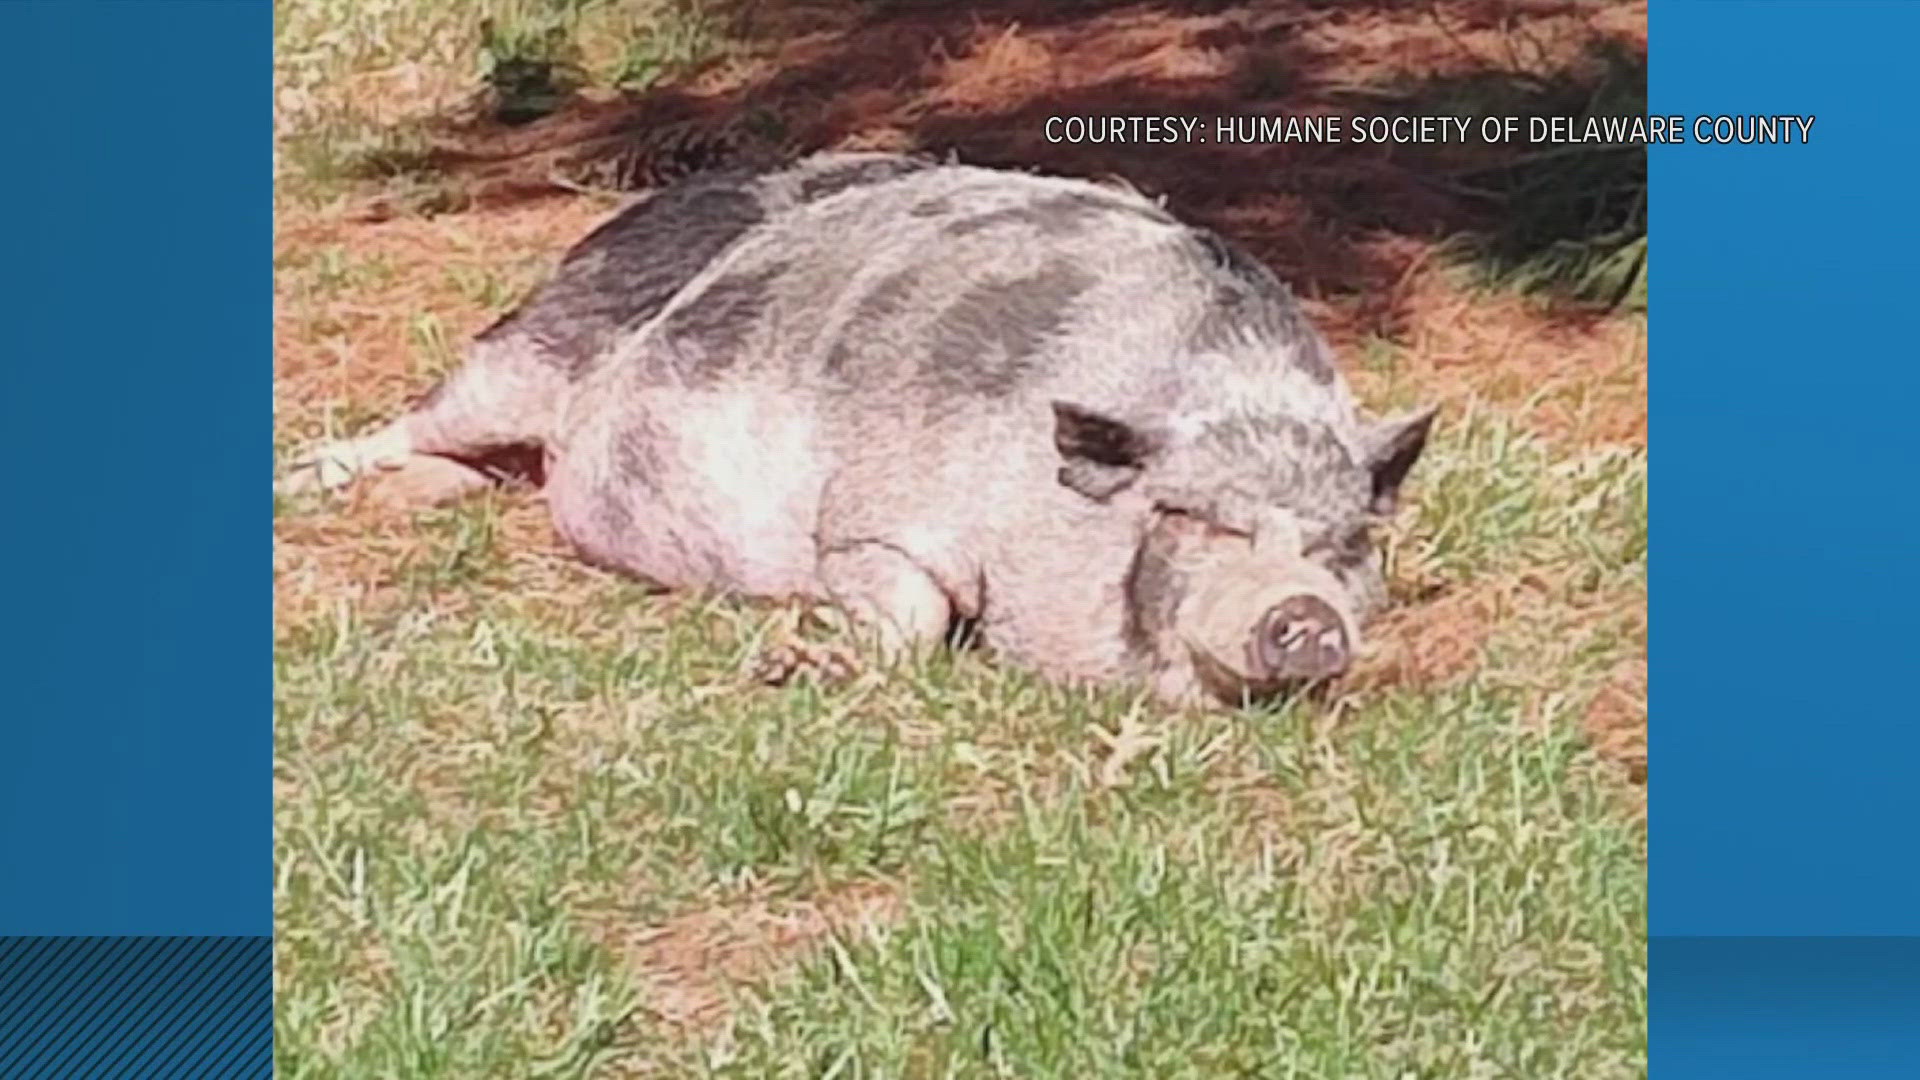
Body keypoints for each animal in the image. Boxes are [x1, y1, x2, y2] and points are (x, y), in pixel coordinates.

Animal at [280, 151, 1437, 707]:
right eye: (1195, 519)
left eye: (1343, 546)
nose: (1303, 615)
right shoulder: (871, 515)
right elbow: (907, 610)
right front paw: (792, 665)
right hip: (542, 338)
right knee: (425, 415)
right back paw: (304, 480)